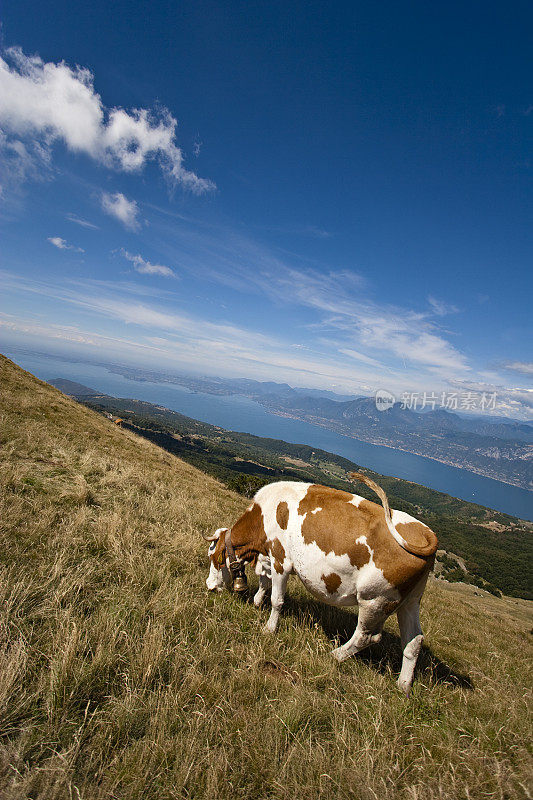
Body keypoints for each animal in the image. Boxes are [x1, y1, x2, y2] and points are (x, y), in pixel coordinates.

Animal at [204, 472, 436, 696]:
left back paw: (335, 655)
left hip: (375, 600)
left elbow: (277, 599)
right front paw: (257, 602)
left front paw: (269, 628)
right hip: (410, 601)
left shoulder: (280, 559)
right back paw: (403, 686)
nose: (209, 586)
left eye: (213, 557)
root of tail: (426, 532)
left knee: (367, 636)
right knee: (414, 641)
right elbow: (264, 583)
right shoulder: (268, 557)